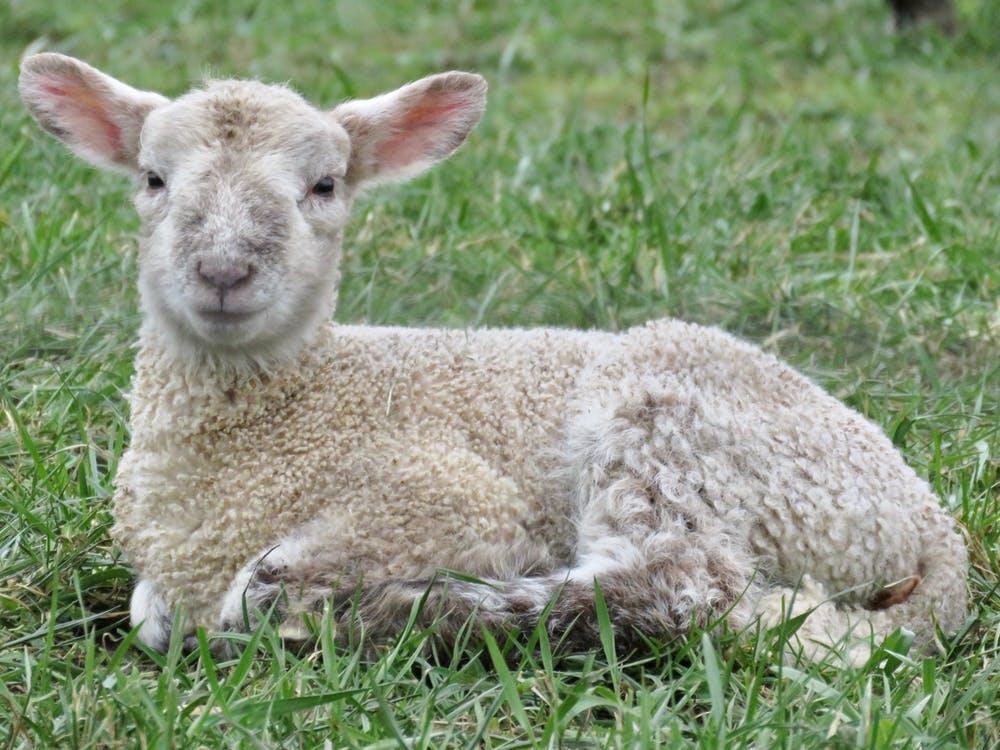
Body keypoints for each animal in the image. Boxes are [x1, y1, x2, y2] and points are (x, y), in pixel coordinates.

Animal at [19, 52, 969, 664]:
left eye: (324, 186)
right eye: (152, 179)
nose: (223, 273)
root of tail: (938, 540)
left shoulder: (446, 496)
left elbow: (261, 583)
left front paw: (296, 608)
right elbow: (149, 611)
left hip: (678, 423)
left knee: (678, 587)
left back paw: (422, 613)